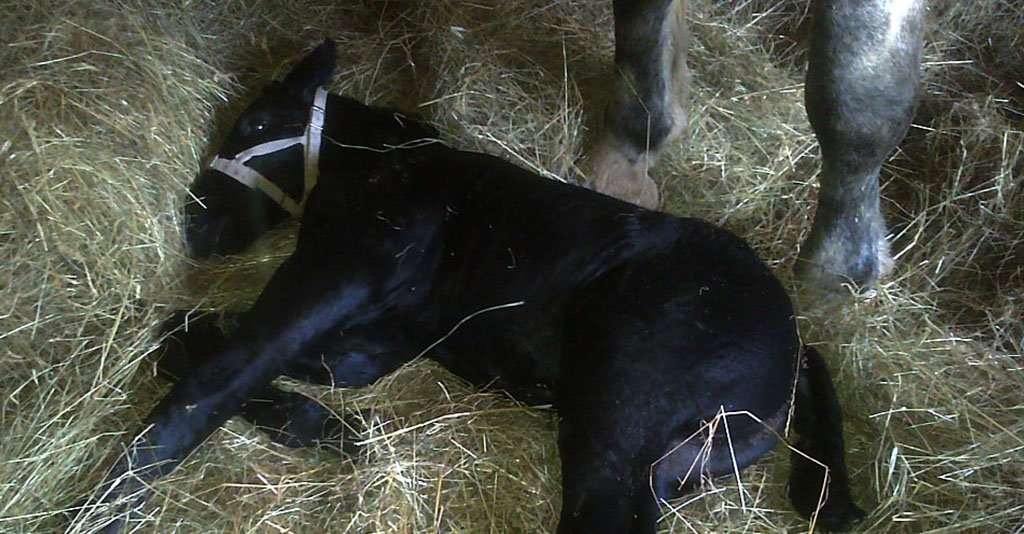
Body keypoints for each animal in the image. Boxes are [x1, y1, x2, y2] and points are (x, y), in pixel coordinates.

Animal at [88, 39, 868, 528]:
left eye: (251, 124)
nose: (195, 225)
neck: (384, 164)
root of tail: (791, 343)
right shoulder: (379, 340)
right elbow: (212, 345)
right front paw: (332, 429)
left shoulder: (338, 271)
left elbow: (219, 374)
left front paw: (118, 492)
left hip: (623, 418)